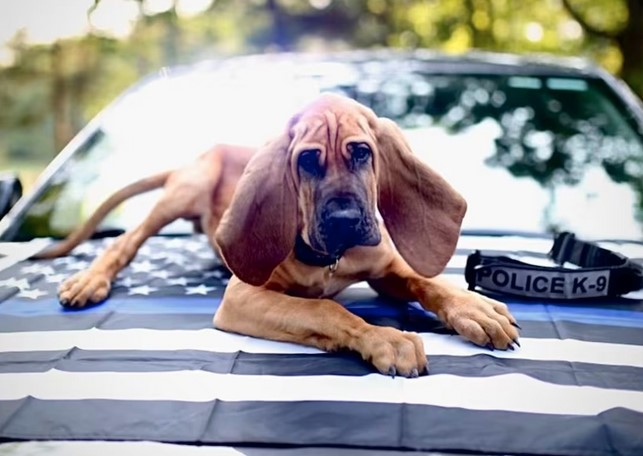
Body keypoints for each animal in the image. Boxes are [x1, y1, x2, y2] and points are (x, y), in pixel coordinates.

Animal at [39, 93, 520, 378]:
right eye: (307, 161)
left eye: (362, 152)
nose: (345, 218)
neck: (330, 260)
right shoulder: (243, 296)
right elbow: (328, 312)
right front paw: (387, 338)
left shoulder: (387, 268)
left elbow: (428, 281)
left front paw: (474, 308)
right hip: (184, 190)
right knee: (125, 241)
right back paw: (90, 281)